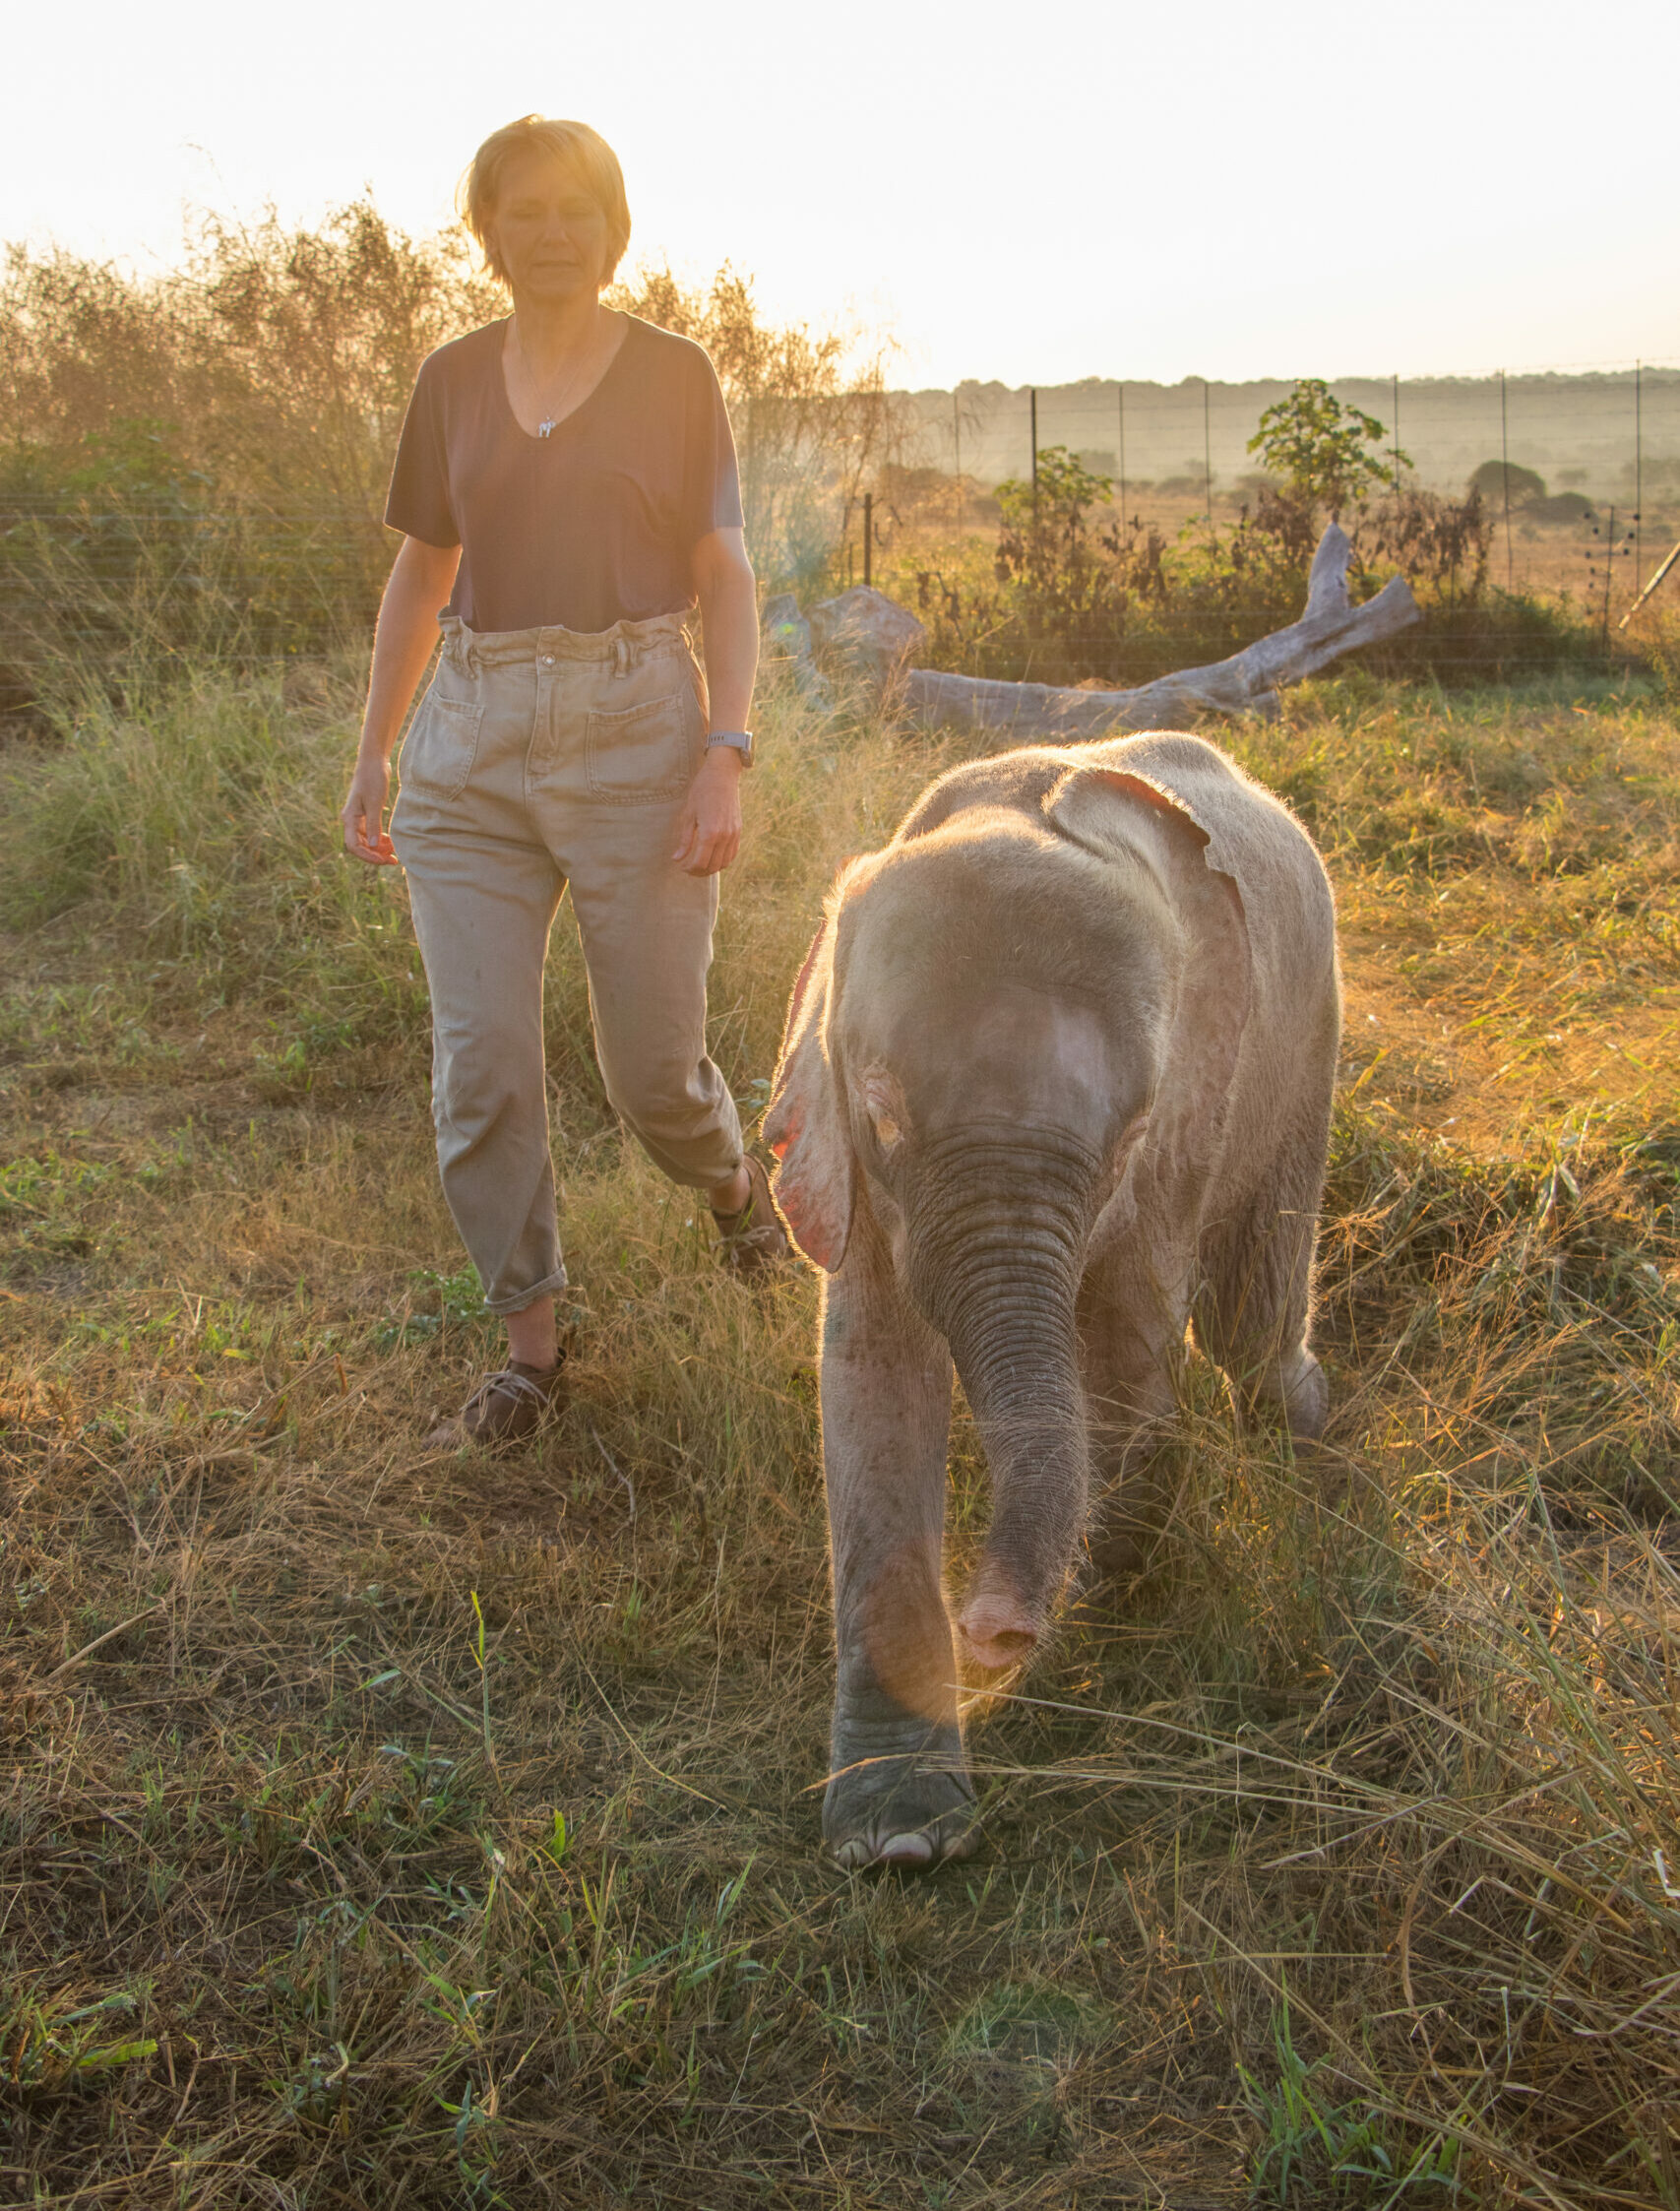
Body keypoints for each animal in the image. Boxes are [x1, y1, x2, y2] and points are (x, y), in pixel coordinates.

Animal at [769, 733, 1343, 1874]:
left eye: (1126, 1140)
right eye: (882, 1111)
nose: (992, 1630)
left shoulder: (1185, 1126)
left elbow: (1126, 1350)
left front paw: (1090, 1606)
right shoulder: (846, 1160)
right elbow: (873, 1374)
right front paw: (898, 1840)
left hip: (1307, 1031)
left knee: (1247, 1330)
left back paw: (1309, 1454)